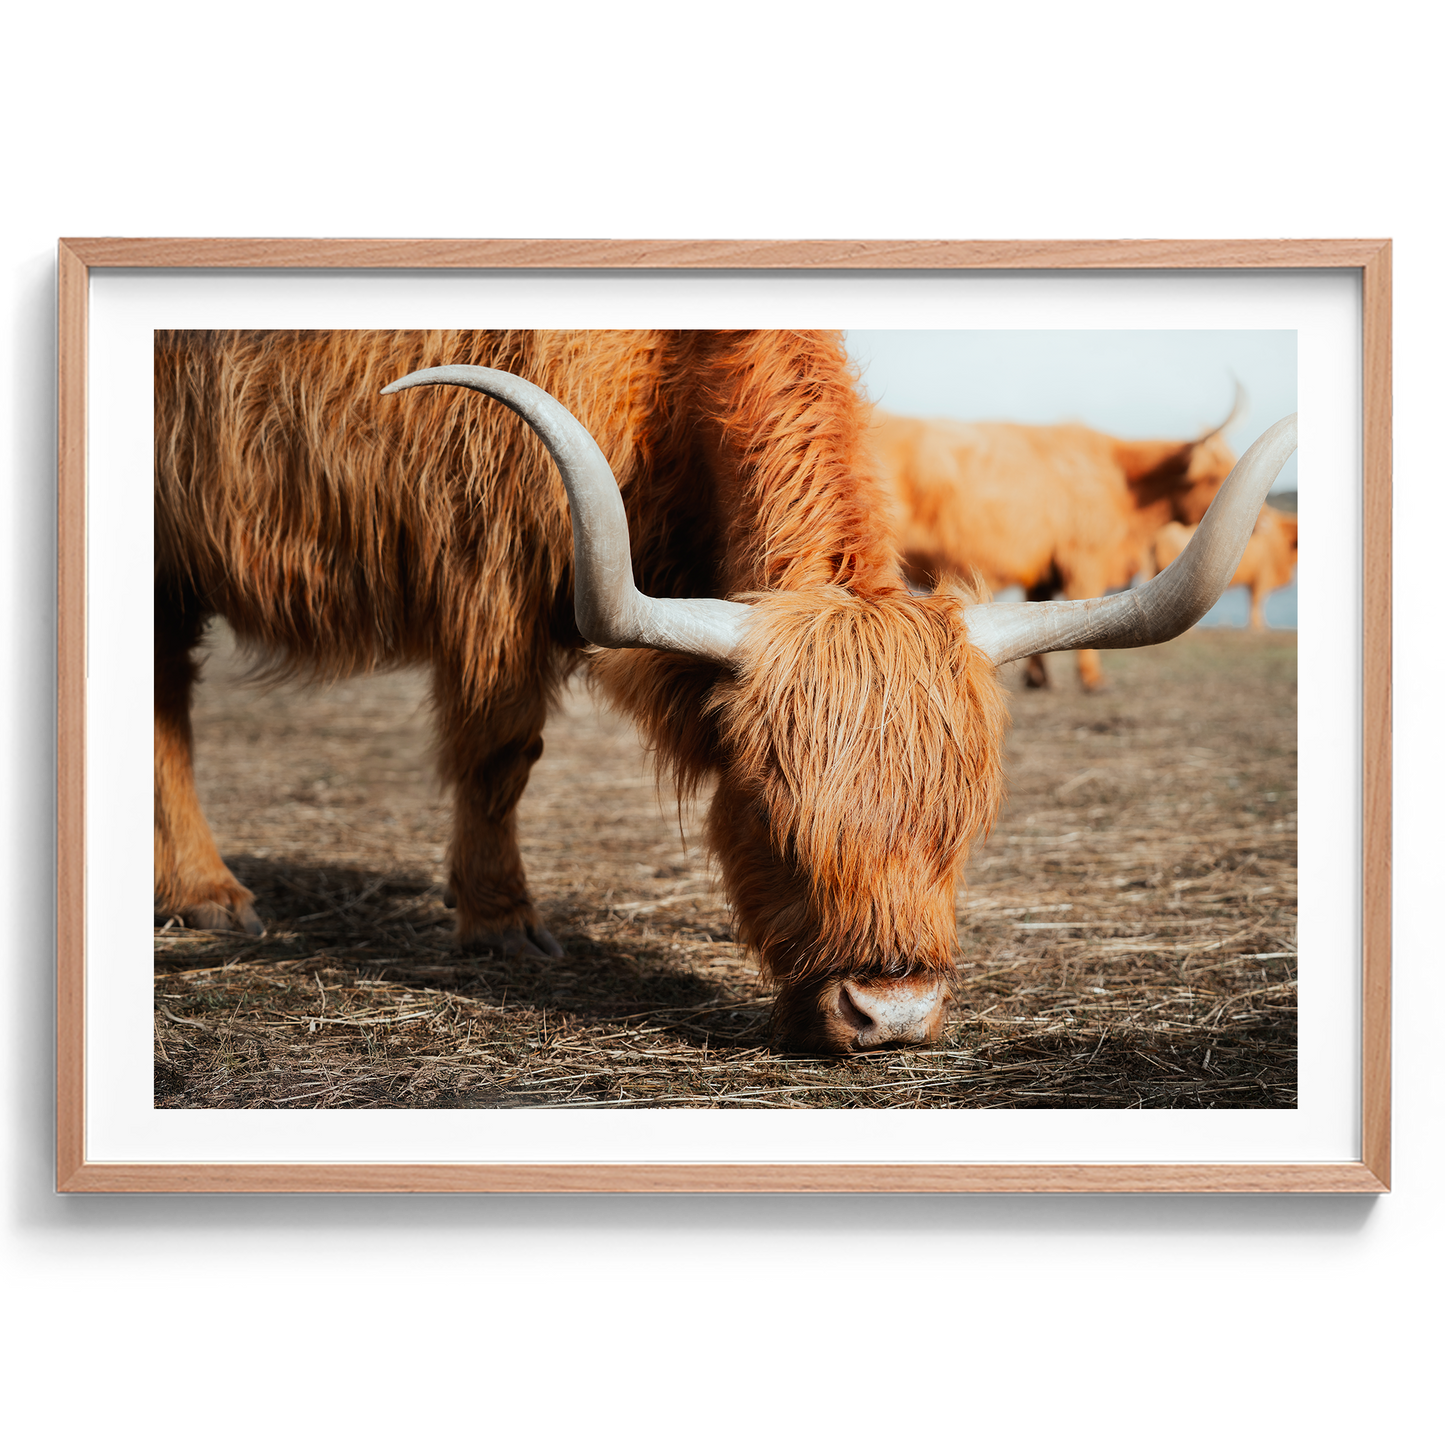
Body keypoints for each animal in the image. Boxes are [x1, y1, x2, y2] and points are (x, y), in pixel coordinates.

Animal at [870, 397, 1245, 690]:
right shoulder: (1084, 558)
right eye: (1215, 474)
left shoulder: (1043, 567)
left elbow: (1039, 606)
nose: (1256, 524)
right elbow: (1082, 603)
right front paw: (1092, 680)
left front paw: (1038, 679)